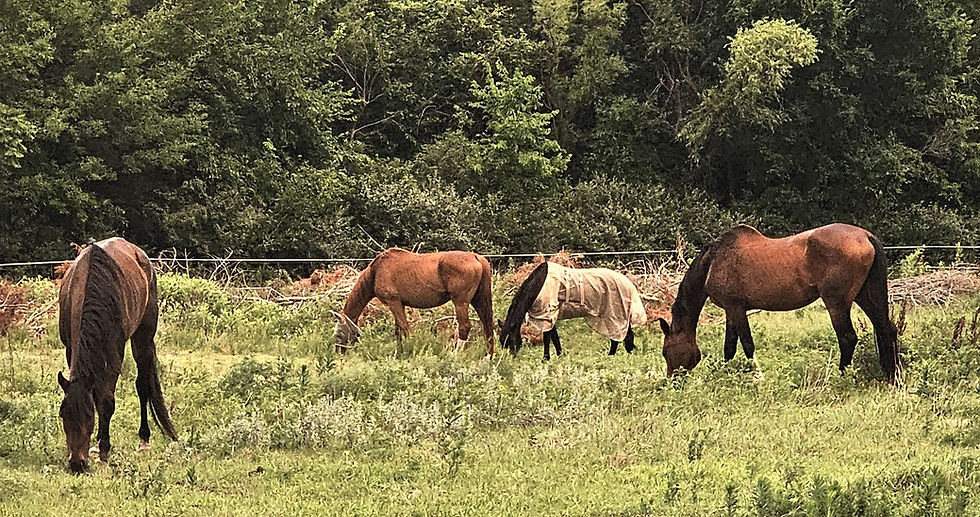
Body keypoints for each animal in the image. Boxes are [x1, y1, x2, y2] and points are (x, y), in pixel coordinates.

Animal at [57, 238, 177, 473]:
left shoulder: (114, 354)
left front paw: (104, 450)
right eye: (63, 414)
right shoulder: (70, 348)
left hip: (143, 338)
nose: (76, 463)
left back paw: (144, 439)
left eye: (89, 416)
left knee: (143, 386)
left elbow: (106, 401)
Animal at [333, 248, 495, 355]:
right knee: (487, 325)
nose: (338, 352)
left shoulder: (394, 303)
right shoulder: (399, 305)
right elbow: (398, 332)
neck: (376, 271)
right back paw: (488, 357)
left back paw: (455, 355)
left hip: (461, 302)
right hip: (478, 300)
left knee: (464, 327)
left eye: (339, 334)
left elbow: (405, 329)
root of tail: (476, 257)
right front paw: (399, 353)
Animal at [498, 261, 647, 359]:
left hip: (615, 313)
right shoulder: (550, 316)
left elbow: (547, 338)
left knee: (620, 336)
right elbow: (554, 337)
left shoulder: (547, 314)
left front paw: (546, 358)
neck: (539, 285)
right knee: (625, 336)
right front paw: (559, 354)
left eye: (510, 340)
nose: (512, 358)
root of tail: (629, 284)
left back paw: (613, 356)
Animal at [659, 223, 900, 383]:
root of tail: (865, 236)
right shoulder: (731, 311)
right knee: (886, 329)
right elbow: (729, 347)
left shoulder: (736, 309)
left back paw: (840, 377)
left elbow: (747, 344)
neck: (714, 260)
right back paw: (893, 376)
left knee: (848, 338)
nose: (672, 381)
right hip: (866, 296)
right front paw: (726, 374)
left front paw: (759, 378)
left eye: (666, 351)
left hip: (837, 304)